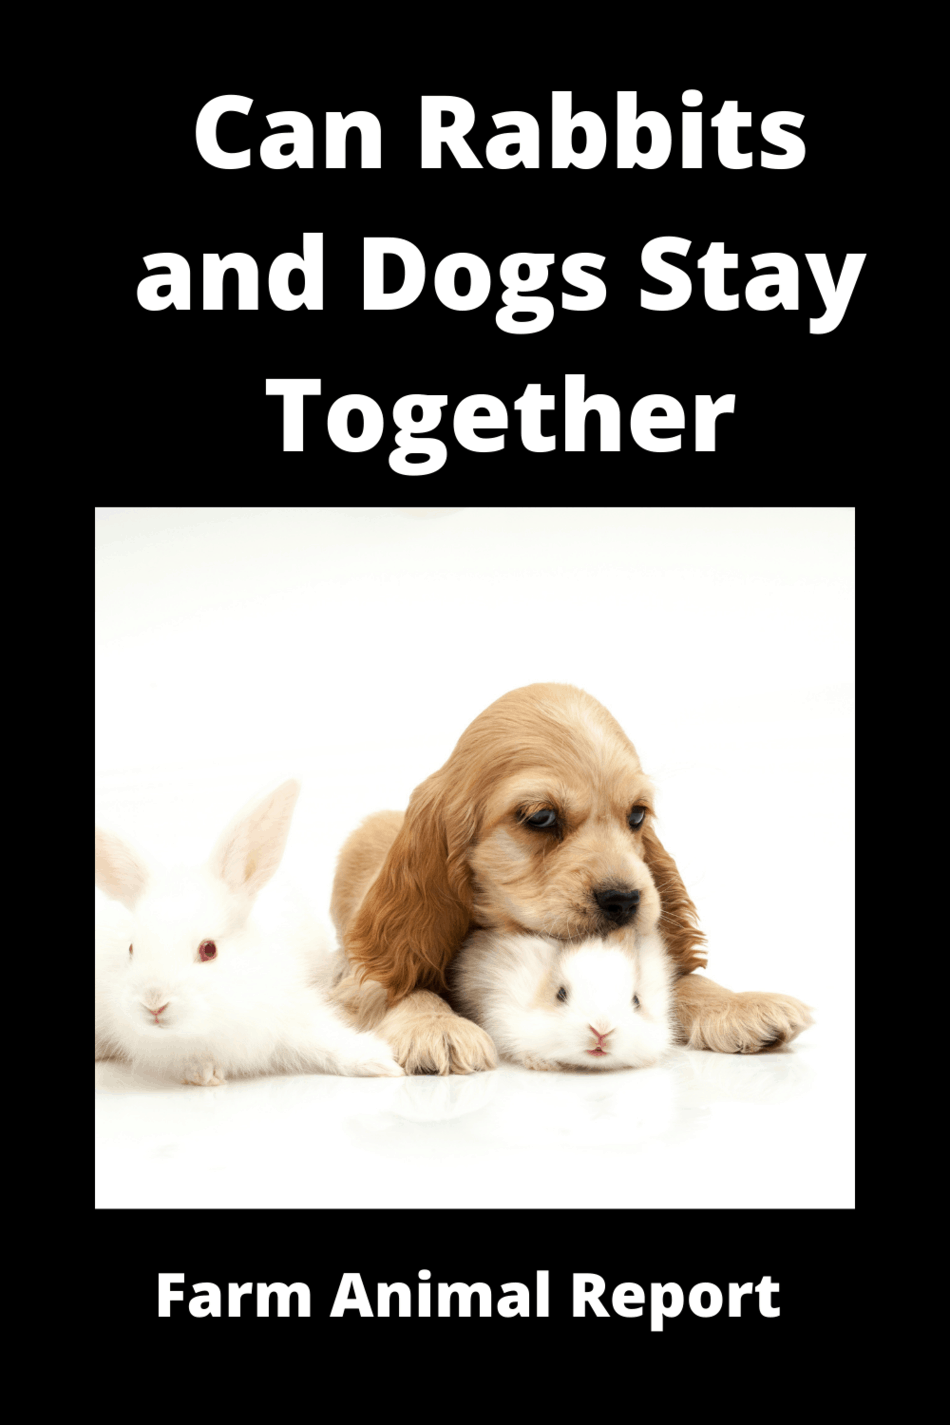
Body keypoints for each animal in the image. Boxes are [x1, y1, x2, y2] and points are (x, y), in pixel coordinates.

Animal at [94, 779, 403, 1084]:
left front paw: (381, 1063)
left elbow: (326, 1038)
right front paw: (204, 1073)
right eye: (131, 949)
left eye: (209, 949)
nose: (154, 1002)